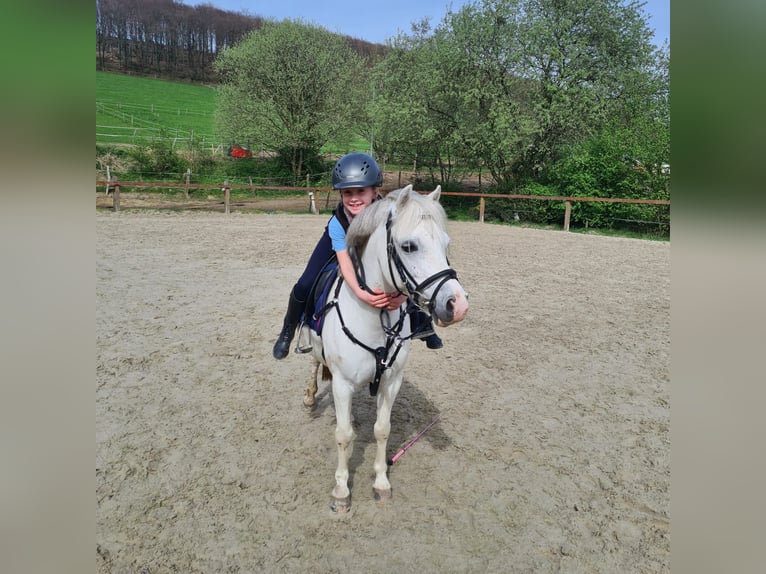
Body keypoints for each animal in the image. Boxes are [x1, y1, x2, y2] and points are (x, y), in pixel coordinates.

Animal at [304, 187, 472, 516]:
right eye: (408, 246)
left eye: (446, 244)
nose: (457, 305)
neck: (373, 318)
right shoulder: (342, 382)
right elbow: (342, 436)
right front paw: (341, 491)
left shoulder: (391, 381)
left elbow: (382, 429)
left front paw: (381, 483)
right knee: (314, 364)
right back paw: (309, 396)